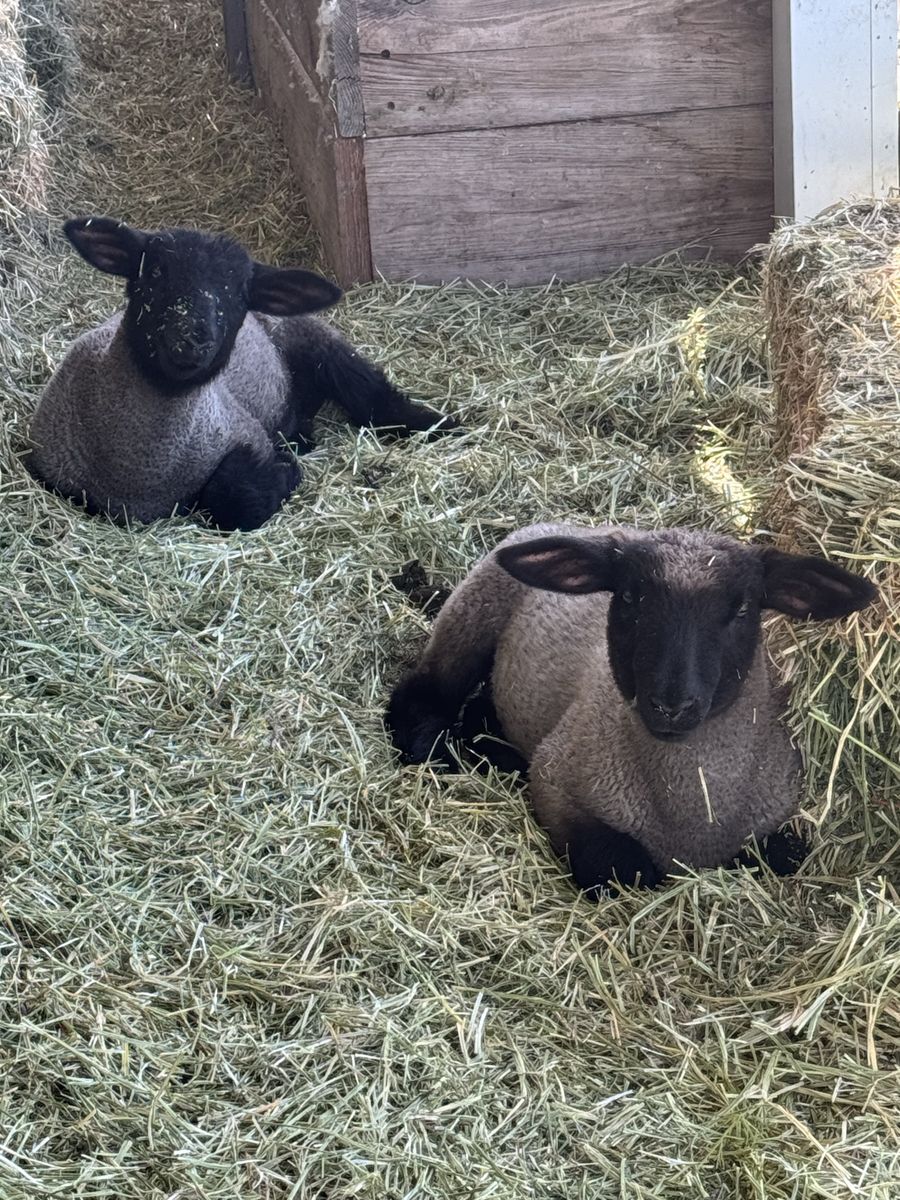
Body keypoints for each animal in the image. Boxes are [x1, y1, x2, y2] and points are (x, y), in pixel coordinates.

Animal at [27, 216, 457, 530]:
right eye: (155, 273)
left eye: (238, 293)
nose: (192, 338)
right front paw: (287, 467)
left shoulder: (247, 434)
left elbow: (234, 500)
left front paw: (285, 472)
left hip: (315, 340)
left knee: (370, 394)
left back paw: (439, 425)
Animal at [387, 523, 878, 894]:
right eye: (627, 597)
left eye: (742, 609)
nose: (671, 705)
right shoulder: (557, 783)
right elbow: (622, 867)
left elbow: (783, 855)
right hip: (472, 614)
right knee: (420, 694)